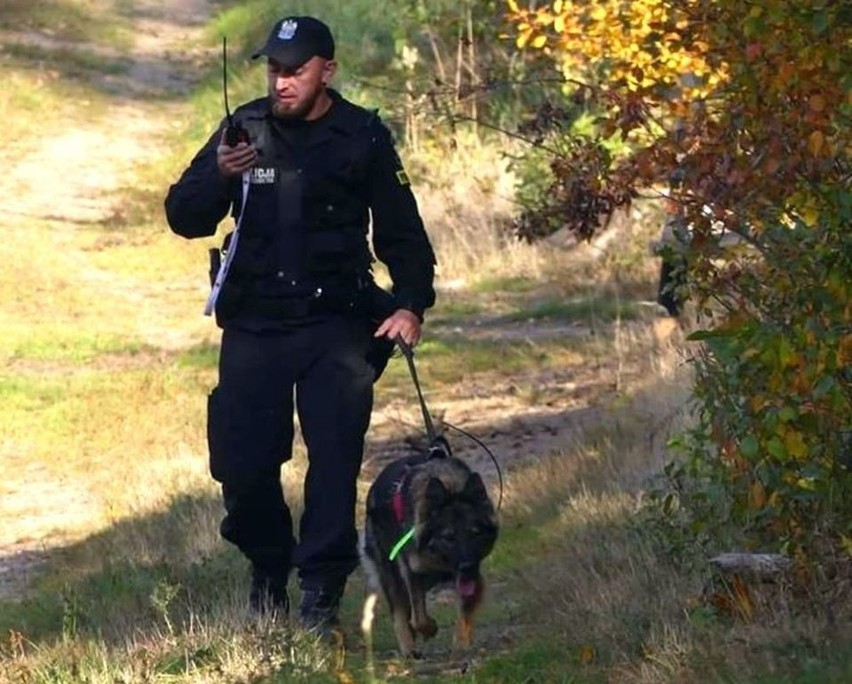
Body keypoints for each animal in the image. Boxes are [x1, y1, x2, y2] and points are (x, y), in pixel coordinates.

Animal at [362, 438, 500, 656]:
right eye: (448, 537)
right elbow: (418, 618)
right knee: (400, 613)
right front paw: (429, 629)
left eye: (475, 533)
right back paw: (408, 649)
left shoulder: (471, 578)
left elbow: (464, 612)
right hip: (391, 574)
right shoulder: (413, 574)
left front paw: (461, 643)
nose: (467, 566)